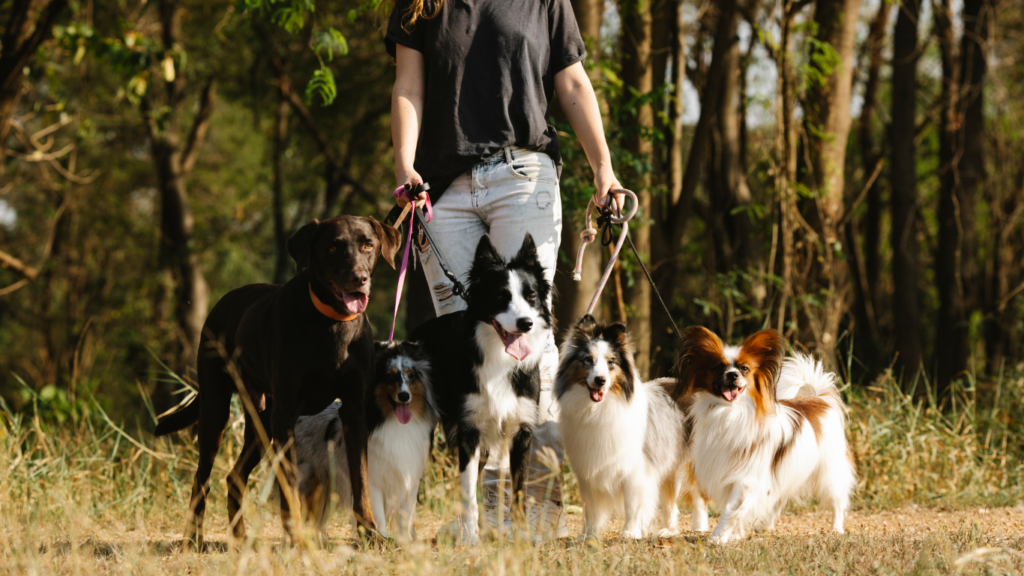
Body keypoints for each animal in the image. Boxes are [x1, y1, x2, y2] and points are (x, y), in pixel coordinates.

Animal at [153, 213, 401, 545]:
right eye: (333, 247)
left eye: (368, 245)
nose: (358, 278)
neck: (331, 322)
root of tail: (219, 304)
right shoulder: (286, 415)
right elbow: (289, 484)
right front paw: (296, 538)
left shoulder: (354, 411)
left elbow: (360, 479)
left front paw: (371, 533)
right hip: (217, 410)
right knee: (201, 477)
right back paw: (194, 538)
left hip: (261, 422)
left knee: (234, 477)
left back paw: (240, 539)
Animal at [292, 338, 436, 541]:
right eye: (389, 377)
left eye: (411, 375)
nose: (404, 396)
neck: (392, 421)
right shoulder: (373, 481)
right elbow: (377, 514)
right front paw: (380, 539)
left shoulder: (409, 479)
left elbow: (404, 517)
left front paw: (404, 542)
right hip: (308, 481)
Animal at [557, 313, 708, 537]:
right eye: (587, 360)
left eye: (611, 362)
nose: (600, 380)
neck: (599, 409)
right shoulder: (588, 471)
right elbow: (591, 507)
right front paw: (588, 535)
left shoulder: (636, 469)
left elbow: (632, 504)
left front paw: (630, 532)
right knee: (670, 502)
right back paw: (668, 531)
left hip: (693, 462)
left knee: (699, 497)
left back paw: (699, 527)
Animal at [671, 325, 856, 541]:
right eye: (718, 367)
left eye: (744, 368)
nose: (732, 374)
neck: (730, 411)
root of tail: (819, 399)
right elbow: (739, 510)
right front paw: (736, 535)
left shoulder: (747, 477)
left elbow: (730, 509)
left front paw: (718, 537)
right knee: (779, 499)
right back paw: (766, 526)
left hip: (829, 471)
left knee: (837, 500)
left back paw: (836, 529)